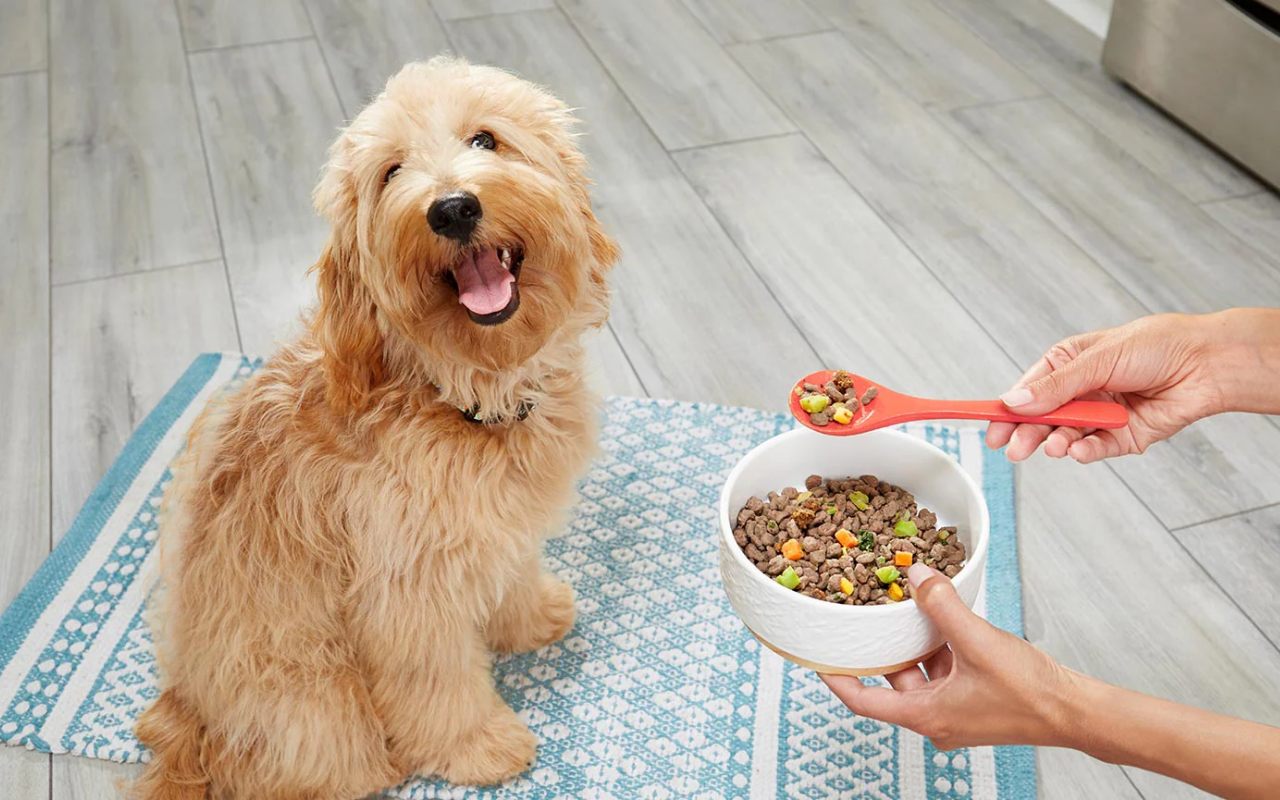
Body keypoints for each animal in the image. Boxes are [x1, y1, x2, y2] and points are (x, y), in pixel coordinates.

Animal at [133, 57, 619, 798]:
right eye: (391, 172)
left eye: (485, 139)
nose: (452, 207)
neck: (453, 391)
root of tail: (191, 720)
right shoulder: (406, 588)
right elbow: (436, 679)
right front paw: (481, 746)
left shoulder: (498, 530)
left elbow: (512, 575)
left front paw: (534, 618)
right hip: (320, 706)